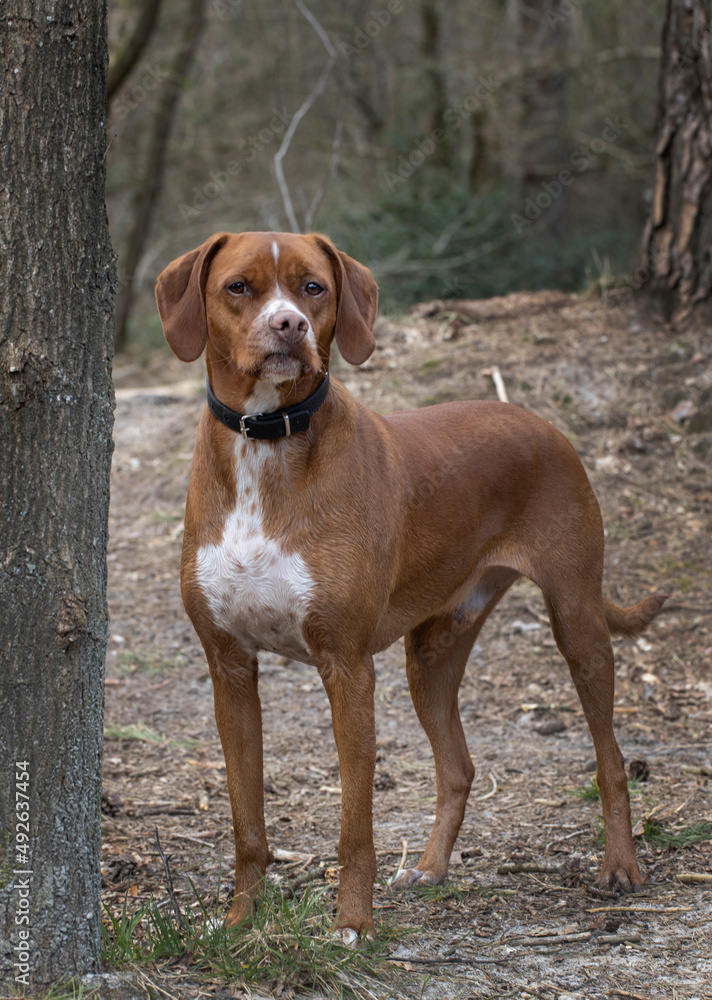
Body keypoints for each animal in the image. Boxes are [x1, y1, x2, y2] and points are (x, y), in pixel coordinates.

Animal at [154, 234, 660, 944]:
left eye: (313, 288)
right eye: (238, 288)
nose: (290, 325)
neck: (266, 442)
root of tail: (541, 421)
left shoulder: (346, 667)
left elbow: (355, 829)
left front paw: (352, 926)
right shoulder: (229, 667)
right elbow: (246, 823)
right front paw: (238, 920)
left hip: (578, 622)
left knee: (610, 759)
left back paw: (620, 868)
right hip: (432, 653)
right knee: (458, 767)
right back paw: (430, 868)